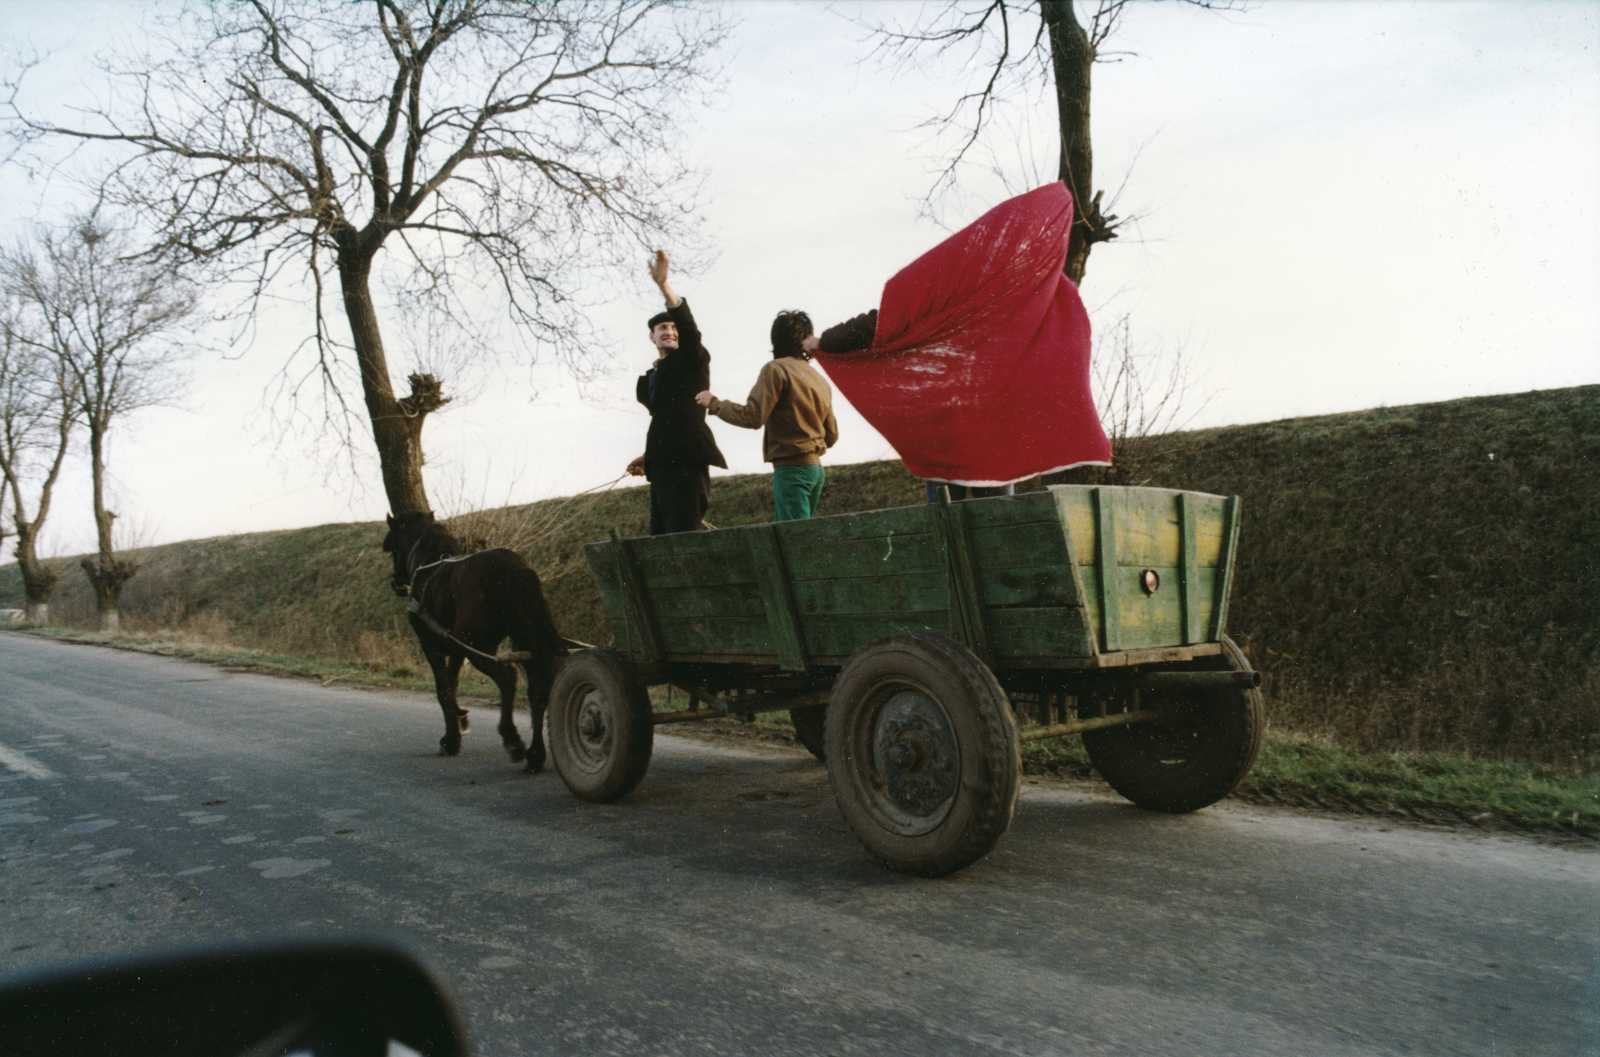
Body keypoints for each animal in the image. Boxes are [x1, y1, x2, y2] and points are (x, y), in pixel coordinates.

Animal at [382, 511, 569, 767]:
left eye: (392, 548)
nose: (396, 582)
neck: (429, 566)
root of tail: (513, 568)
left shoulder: (432, 646)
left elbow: (443, 690)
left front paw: (451, 740)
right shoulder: (456, 648)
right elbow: (452, 684)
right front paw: (458, 722)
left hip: (479, 647)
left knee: (507, 677)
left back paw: (512, 739)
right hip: (523, 640)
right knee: (537, 687)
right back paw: (535, 754)